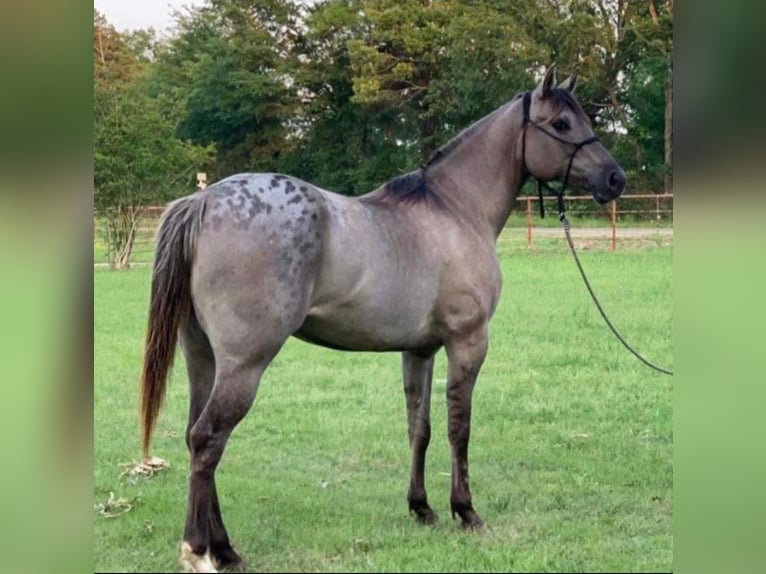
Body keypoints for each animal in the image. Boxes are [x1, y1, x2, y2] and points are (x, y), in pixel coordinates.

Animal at [141, 65, 628, 572]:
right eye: (561, 125)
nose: (616, 178)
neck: (455, 211)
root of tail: (205, 201)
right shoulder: (468, 342)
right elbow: (459, 428)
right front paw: (465, 510)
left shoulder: (420, 350)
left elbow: (420, 427)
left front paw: (422, 507)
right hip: (244, 365)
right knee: (208, 440)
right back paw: (199, 551)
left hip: (203, 359)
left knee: (197, 438)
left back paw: (225, 549)